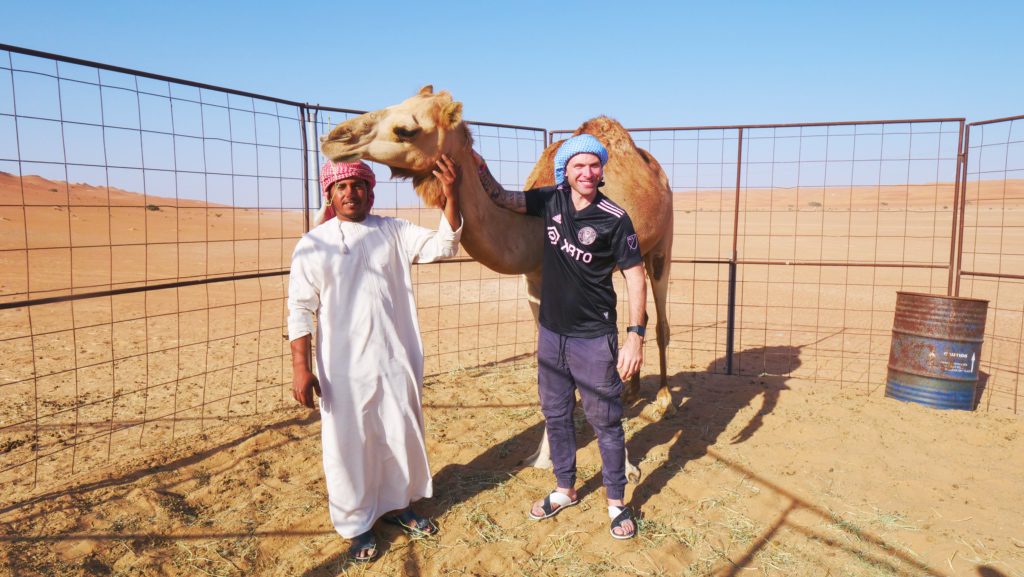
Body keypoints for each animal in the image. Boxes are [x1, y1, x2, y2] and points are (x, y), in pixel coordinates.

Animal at [319, 84, 671, 479]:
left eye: (405, 129)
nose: (335, 138)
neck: (535, 229)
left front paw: (626, 466)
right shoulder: (535, 285)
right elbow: (548, 366)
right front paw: (542, 457)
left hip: (661, 243)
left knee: (660, 319)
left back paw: (664, 399)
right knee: (642, 317)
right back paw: (632, 390)